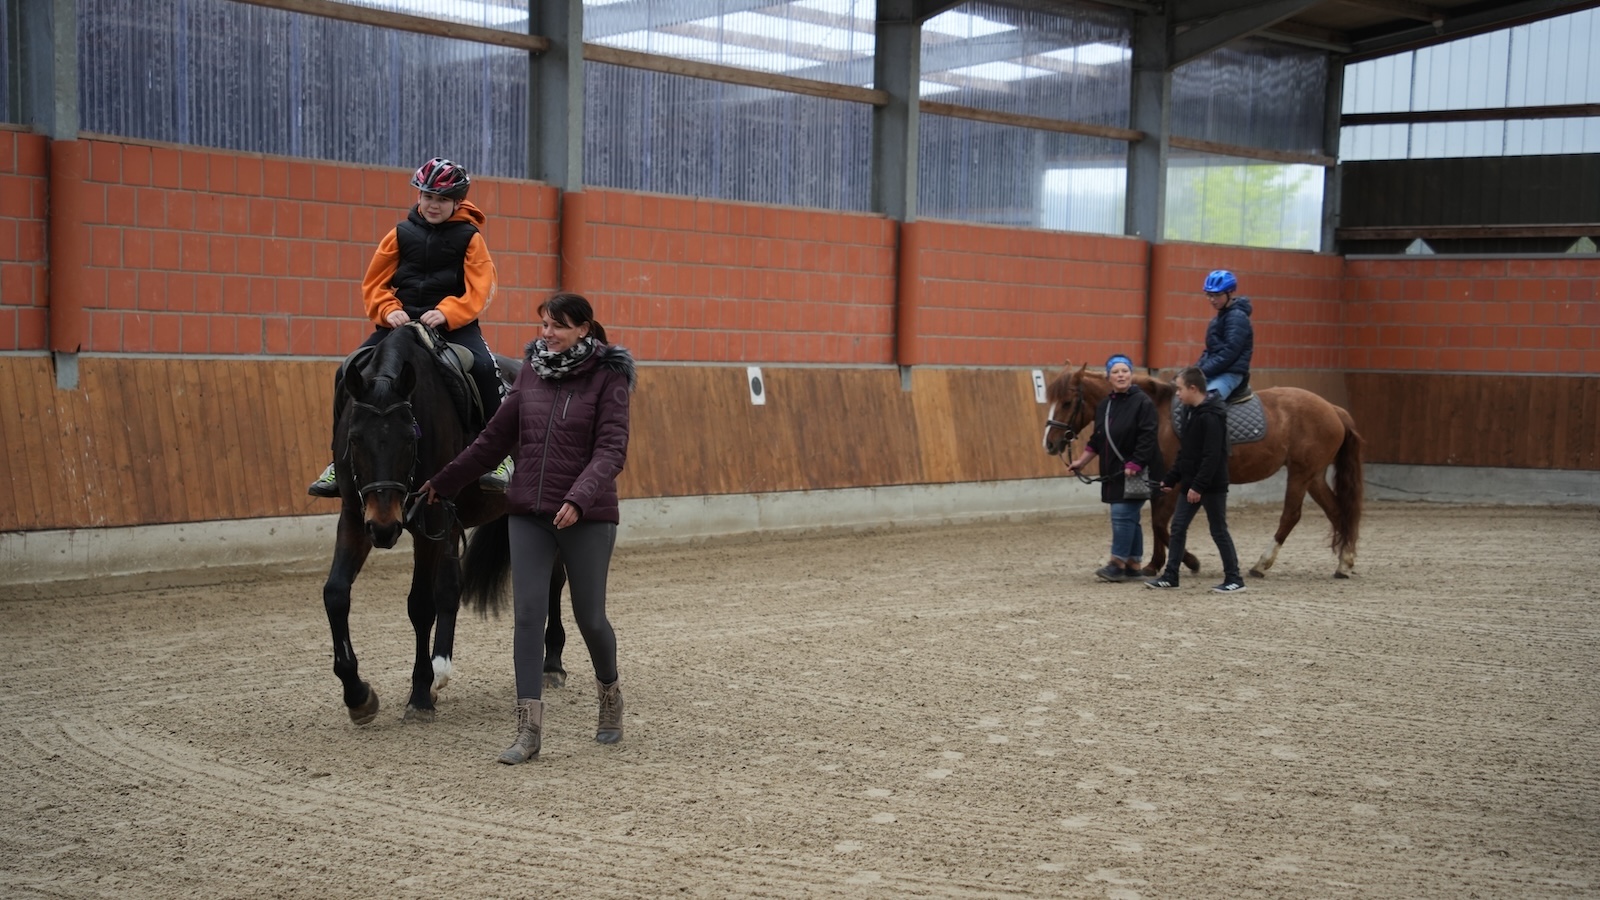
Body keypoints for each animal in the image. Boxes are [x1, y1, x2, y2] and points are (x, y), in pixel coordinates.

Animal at [316, 321, 569, 720]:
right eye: (354, 439)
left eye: (410, 438)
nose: (385, 528)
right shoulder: (357, 517)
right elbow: (336, 594)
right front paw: (358, 695)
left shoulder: (429, 518)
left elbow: (420, 604)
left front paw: (419, 694)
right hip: (450, 524)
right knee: (451, 587)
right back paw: (440, 669)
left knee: (554, 580)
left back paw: (553, 664)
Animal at [1043, 361, 1369, 576]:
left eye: (1068, 401)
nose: (1049, 443)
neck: (1157, 414)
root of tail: (1333, 408)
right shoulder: (1158, 479)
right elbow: (1156, 522)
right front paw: (1153, 564)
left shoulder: (1174, 482)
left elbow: (1161, 523)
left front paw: (1189, 561)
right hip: (1313, 475)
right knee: (1337, 511)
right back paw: (1345, 562)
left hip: (1301, 474)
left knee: (1291, 515)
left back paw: (1261, 564)